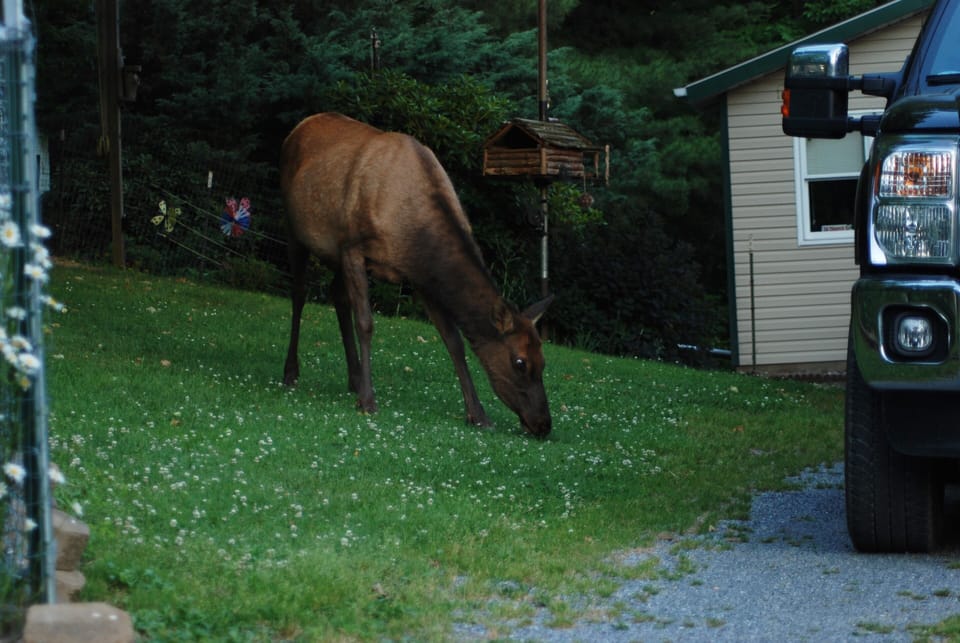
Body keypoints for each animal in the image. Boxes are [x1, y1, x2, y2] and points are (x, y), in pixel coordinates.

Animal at [280, 112, 553, 437]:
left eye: (544, 362)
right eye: (520, 362)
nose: (543, 423)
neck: (411, 235)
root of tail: (299, 127)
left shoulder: (421, 277)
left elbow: (453, 341)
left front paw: (477, 414)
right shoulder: (353, 246)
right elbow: (366, 323)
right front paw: (368, 401)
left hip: (335, 254)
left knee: (337, 295)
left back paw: (354, 378)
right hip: (297, 230)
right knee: (299, 294)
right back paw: (291, 372)